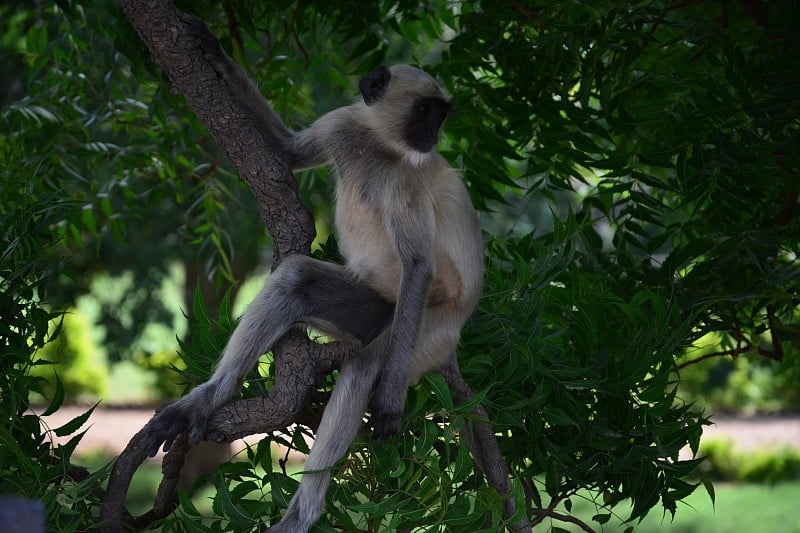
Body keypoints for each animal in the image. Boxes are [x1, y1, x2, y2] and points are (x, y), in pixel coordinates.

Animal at [142, 18, 482, 528]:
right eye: (426, 111)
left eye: (439, 115)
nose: (433, 133)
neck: (378, 145)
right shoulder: (344, 123)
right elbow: (287, 153)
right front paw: (215, 52)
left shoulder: (405, 177)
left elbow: (419, 264)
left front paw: (390, 400)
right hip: (377, 307)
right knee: (296, 277)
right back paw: (205, 400)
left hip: (428, 325)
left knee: (365, 364)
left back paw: (304, 513)